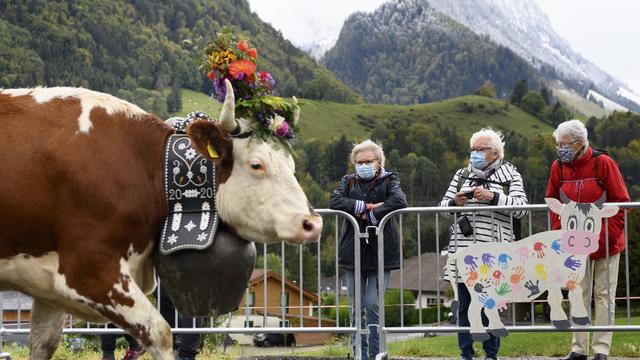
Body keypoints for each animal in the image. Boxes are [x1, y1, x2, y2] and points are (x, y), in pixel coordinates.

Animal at [0, 80, 320, 358]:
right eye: (256, 165)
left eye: (291, 166)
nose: (313, 223)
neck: (142, 164)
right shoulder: (89, 270)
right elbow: (161, 333)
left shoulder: (47, 285)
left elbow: (43, 343)